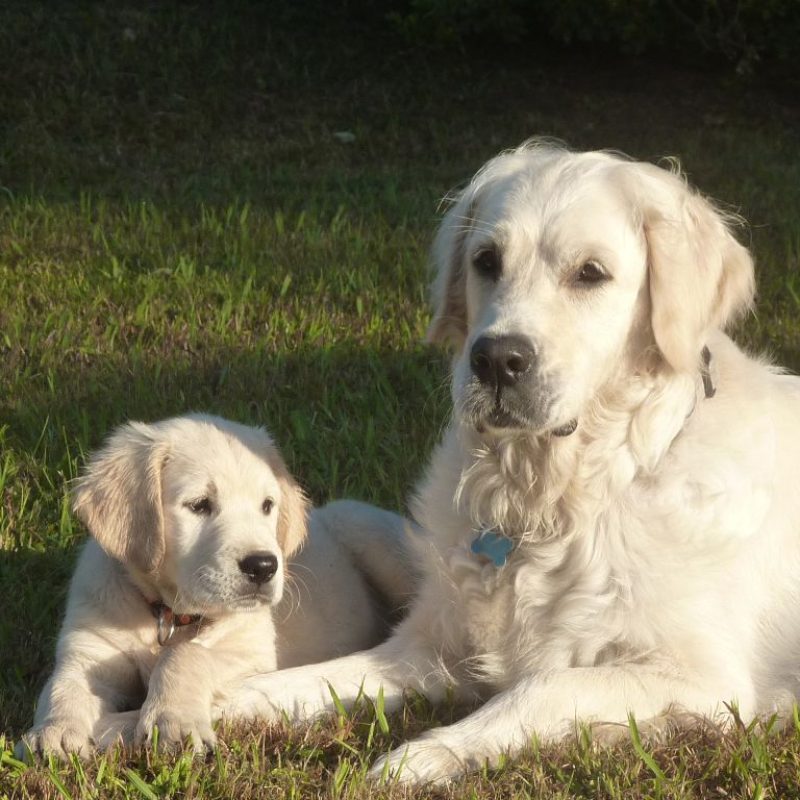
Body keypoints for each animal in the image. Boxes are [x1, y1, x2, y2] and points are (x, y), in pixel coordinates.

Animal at [18, 416, 412, 760]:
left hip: (362, 526)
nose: (263, 566)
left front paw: (172, 722)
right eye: (199, 505)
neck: (168, 614)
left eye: (267, 506)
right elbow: (63, 686)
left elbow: (187, 654)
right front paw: (53, 732)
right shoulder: (88, 651)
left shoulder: (251, 653)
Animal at [216, 141, 800, 784]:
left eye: (591, 273)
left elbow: (544, 686)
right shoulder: (432, 644)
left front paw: (421, 756)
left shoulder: (705, 682)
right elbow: (334, 671)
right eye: (486, 261)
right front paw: (230, 699)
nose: (496, 360)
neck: (552, 501)